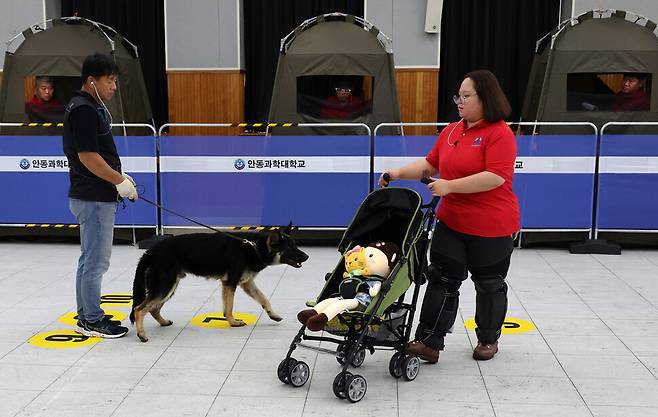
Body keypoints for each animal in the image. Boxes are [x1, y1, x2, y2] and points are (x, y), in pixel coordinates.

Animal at [131, 224, 310, 342]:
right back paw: (142, 334)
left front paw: (273, 314)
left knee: (153, 309)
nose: (307, 257)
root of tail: (152, 250)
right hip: (165, 286)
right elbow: (229, 307)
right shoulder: (230, 283)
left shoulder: (246, 283)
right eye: (290, 248)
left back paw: (163, 322)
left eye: (295, 245)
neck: (255, 247)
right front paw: (233, 322)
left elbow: (264, 298)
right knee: (140, 309)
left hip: (169, 287)